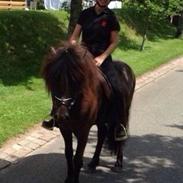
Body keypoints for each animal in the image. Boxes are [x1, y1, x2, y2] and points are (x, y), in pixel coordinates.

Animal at [41, 42, 136, 183]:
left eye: (75, 81)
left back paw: (118, 163)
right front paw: (69, 178)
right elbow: (68, 154)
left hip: (122, 114)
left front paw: (75, 179)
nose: (62, 115)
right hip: (101, 119)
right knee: (102, 134)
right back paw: (94, 163)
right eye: (54, 80)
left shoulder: (83, 131)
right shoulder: (65, 129)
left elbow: (77, 158)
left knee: (120, 136)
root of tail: (127, 69)